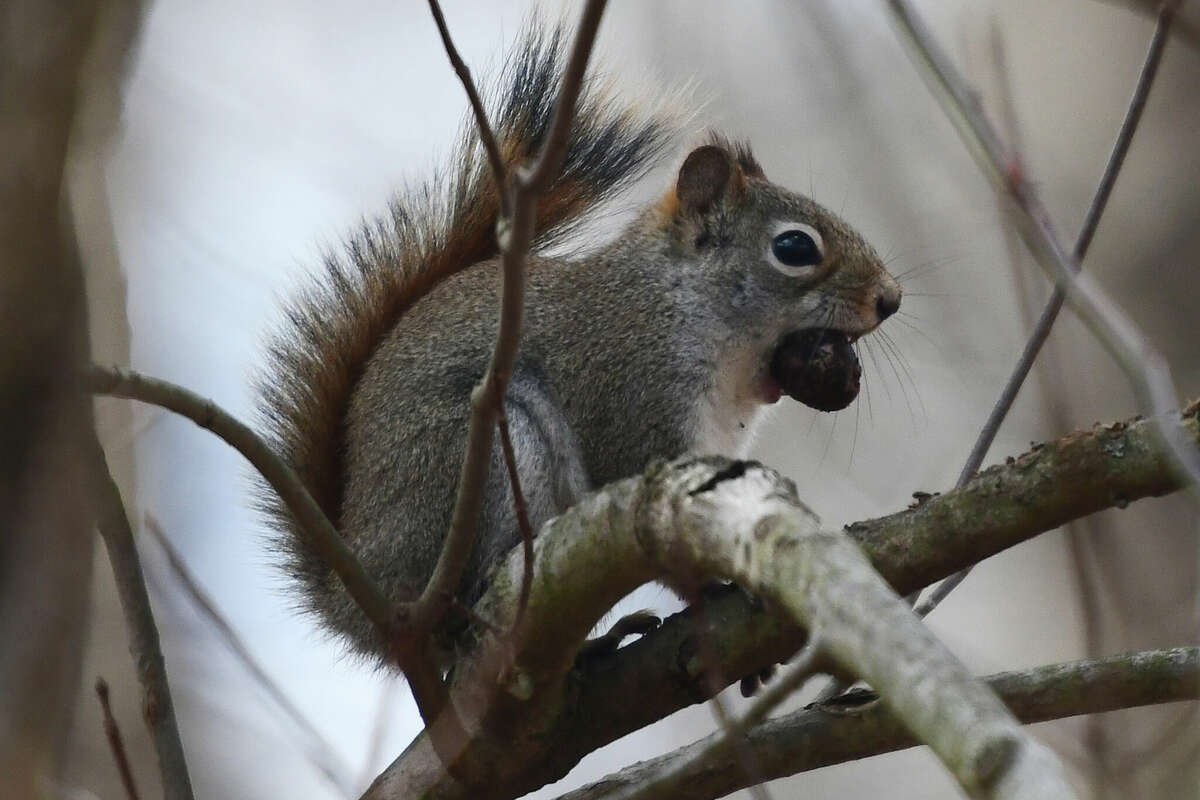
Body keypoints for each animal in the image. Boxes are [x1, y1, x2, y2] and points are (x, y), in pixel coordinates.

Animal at [260, 21, 902, 666]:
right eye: (794, 248)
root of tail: (362, 600)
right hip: (475, 461)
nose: (890, 299)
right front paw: (719, 582)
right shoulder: (631, 391)